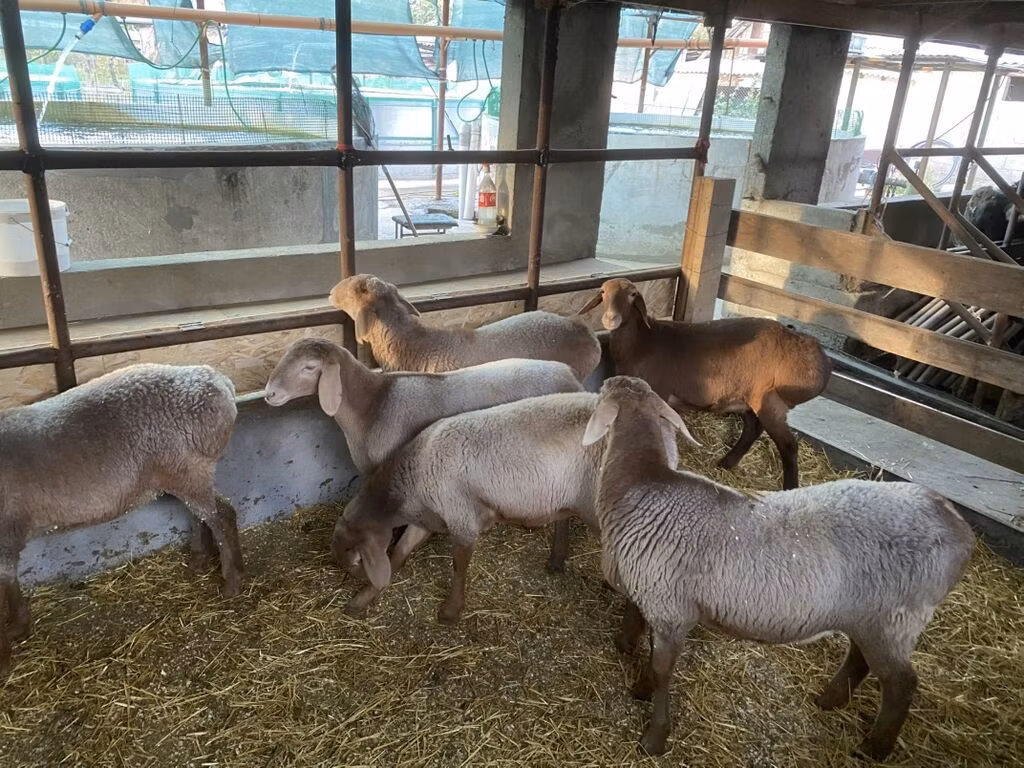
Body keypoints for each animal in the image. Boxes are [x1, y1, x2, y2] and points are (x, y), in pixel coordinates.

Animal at [0, 364, 244, 674]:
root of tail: (217, 381)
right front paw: (18, 625)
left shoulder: (5, 532)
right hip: (181, 472)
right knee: (200, 513)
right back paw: (200, 559)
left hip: (189, 468)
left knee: (222, 514)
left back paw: (232, 580)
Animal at [330, 392, 613, 622]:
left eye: (352, 555)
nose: (357, 577)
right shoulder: (428, 518)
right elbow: (399, 552)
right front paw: (362, 598)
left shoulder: (461, 517)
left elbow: (459, 565)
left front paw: (450, 612)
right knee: (565, 517)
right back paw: (557, 559)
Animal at [577, 277, 831, 489]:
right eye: (603, 292)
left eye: (632, 295)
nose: (611, 319)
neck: (642, 341)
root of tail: (819, 357)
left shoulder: (657, 392)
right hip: (746, 397)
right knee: (753, 428)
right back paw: (727, 462)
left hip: (770, 400)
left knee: (788, 445)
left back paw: (790, 487)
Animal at [582, 375, 975, 761]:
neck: (643, 482)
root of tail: (956, 525)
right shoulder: (649, 591)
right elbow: (638, 632)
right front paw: (638, 681)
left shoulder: (670, 609)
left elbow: (663, 670)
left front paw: (654, 736)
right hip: (870, 616)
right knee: (860, 659)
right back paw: (830, 701)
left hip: (896, 618)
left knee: (901, 684)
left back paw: (874, 748)